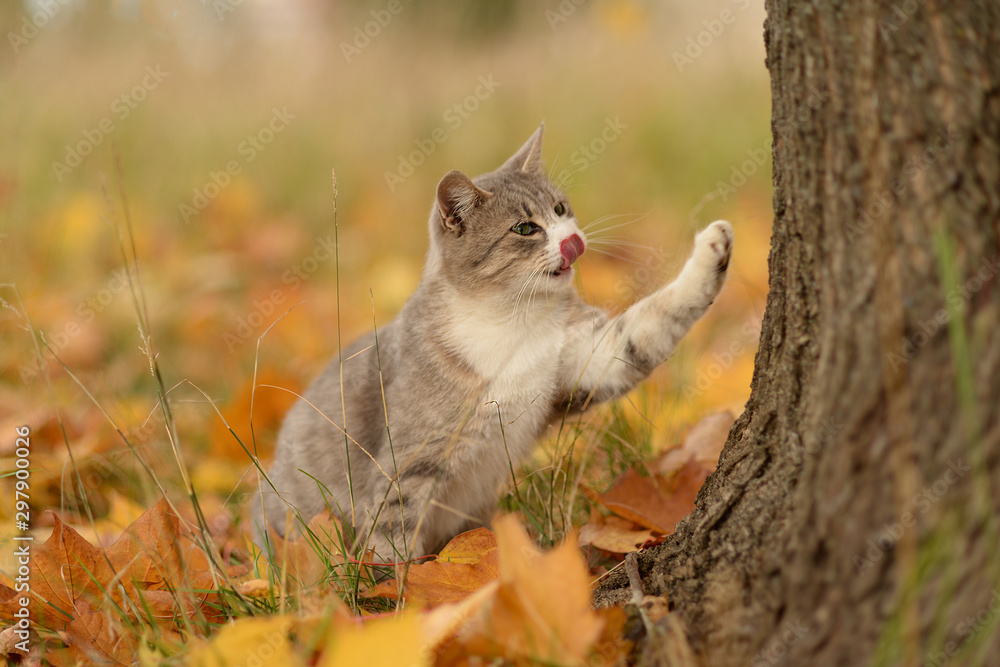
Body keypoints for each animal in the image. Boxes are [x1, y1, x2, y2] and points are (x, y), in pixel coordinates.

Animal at [254, 122, 732, 560]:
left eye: (560, 208)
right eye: (524, 228)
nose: (574, 241)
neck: (510, 319)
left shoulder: (591, 358)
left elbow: (650, 322)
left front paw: (712, 252)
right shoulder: (406, 461)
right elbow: (393, 536)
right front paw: (400, 593)